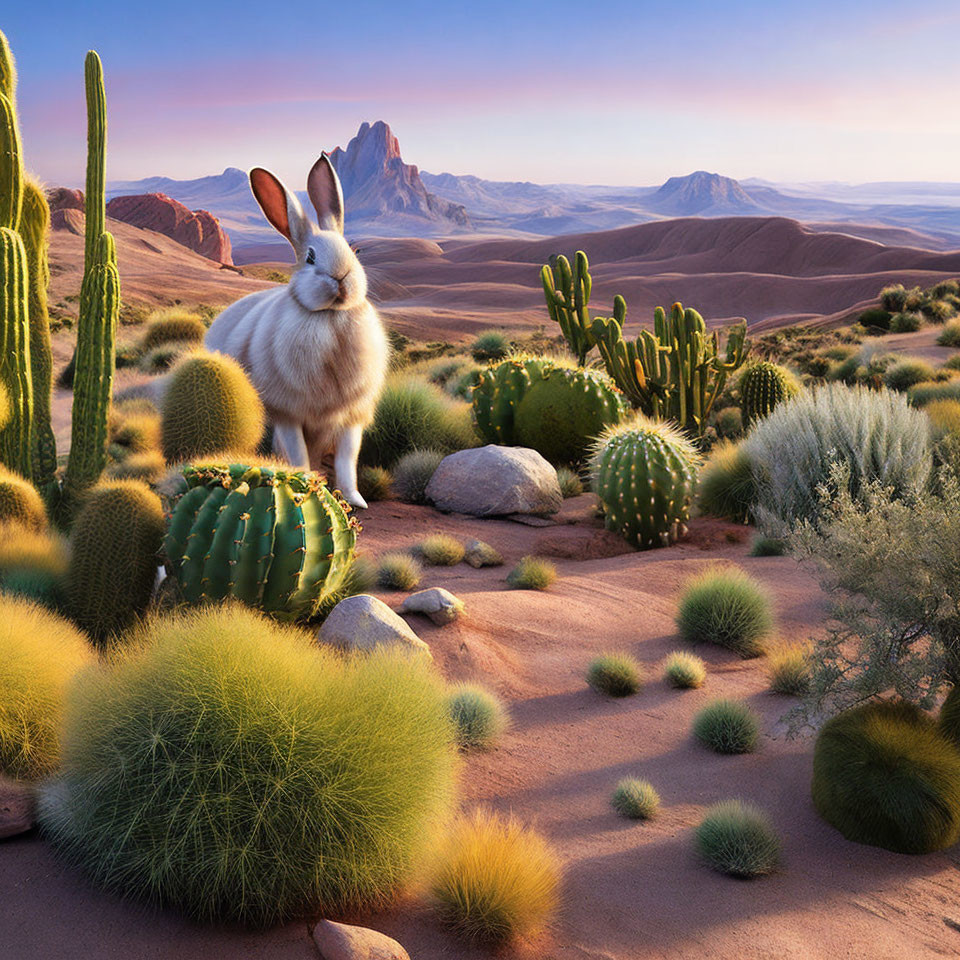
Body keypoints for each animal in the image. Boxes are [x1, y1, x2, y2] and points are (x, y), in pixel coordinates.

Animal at [204, 154, 388, 506]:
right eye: (310, 258)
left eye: (354, 251)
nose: (341, 277)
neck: (330, 317)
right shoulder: (287, 414)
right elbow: (298, 453)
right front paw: (304, 485)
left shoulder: (351, 418)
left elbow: (348, 460)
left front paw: (356, 501)